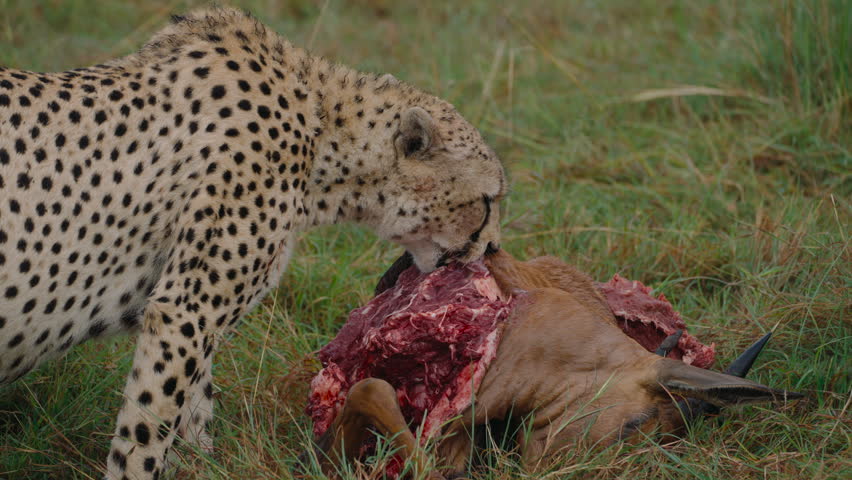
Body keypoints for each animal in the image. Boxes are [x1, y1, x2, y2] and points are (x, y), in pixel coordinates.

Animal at [0, 7, 506, 479]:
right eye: (487, 201)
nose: (494, 250)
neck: (322, 127)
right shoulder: (184, 311)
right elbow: (147, 431)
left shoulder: (188, 318)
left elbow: (193, 412)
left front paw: (201, 462)